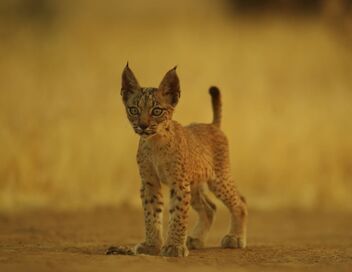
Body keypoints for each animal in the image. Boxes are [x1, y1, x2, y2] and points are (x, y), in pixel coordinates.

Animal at [108, 64, 246, 258]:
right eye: (133, 110)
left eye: (157, 111)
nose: (142, 126)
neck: (155, 141)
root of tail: (212, 125)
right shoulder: (149, 182)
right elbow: (151, 214)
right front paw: (152, 245)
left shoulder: (178, 182)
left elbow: (179, 214)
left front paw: (174, 247)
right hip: (194, 184)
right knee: (210, 207)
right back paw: (195, 239)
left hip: (218, 178)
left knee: (240, 202)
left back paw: (235, 238)